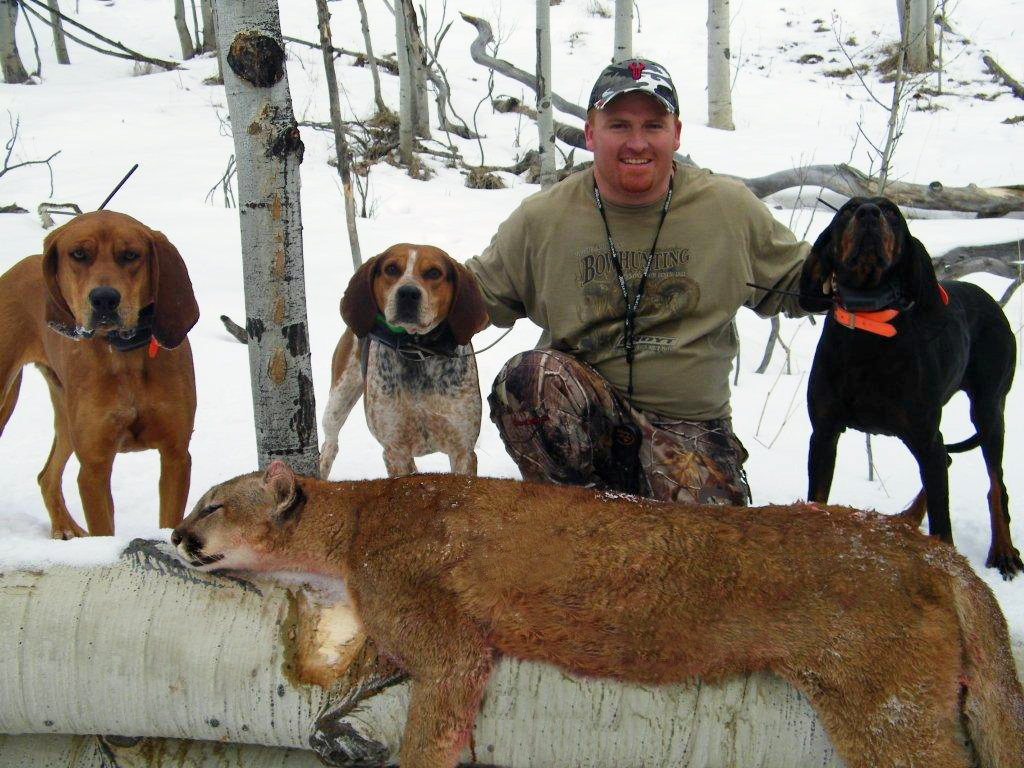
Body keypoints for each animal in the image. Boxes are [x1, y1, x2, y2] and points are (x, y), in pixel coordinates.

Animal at [0, 207, 198, 536]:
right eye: (78, 254)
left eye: (131, 255)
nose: (105, 298)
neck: (124, 354)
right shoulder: (94, 467)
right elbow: (103, 528)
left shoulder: (176, 455)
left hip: (65, 415)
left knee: (47, 475)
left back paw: (64, 527)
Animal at [172, 462, 1019, 768]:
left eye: (212, 504)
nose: (177, 533)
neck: (352, 523)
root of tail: (922, 544)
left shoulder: (449, 649)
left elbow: (428, 729)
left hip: (885, 712)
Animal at [323, 244, 491, 481]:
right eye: (391, 269)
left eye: (434, 272)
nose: (408, 293)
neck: (417, 350)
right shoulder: (395, 451)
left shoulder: (462, 450)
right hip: (337, 403)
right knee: (330, 445)